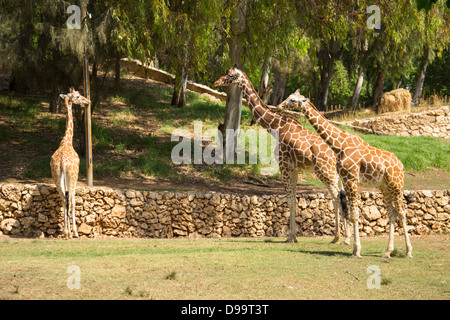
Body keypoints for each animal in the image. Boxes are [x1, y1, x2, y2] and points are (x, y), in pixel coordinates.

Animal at [213, 66, 350, 244]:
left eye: (230, 75)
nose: (216, 82)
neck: (276, 128)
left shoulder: (283, 166)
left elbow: (290, 200)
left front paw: (290, 237)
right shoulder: (294, 169)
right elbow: (294, 199)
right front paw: (294, 236)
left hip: (325, 172)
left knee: (337, 197)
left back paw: (339, 238)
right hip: (336, 175)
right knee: (340, 198)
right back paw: (343, 237)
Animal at [284, 89, 414, 258]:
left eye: (293, 100)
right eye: (289, 97)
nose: (282, 105)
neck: (339, 145)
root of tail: (401, 164)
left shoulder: (351, 179)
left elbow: (354, 215)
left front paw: (356, 251)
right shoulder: (345, 180)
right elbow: (351, 213)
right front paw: (354, 248)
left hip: (396, 185)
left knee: (402, 212)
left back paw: (408, 252)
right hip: (384, 187)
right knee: (391, 213)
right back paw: (388, 251)